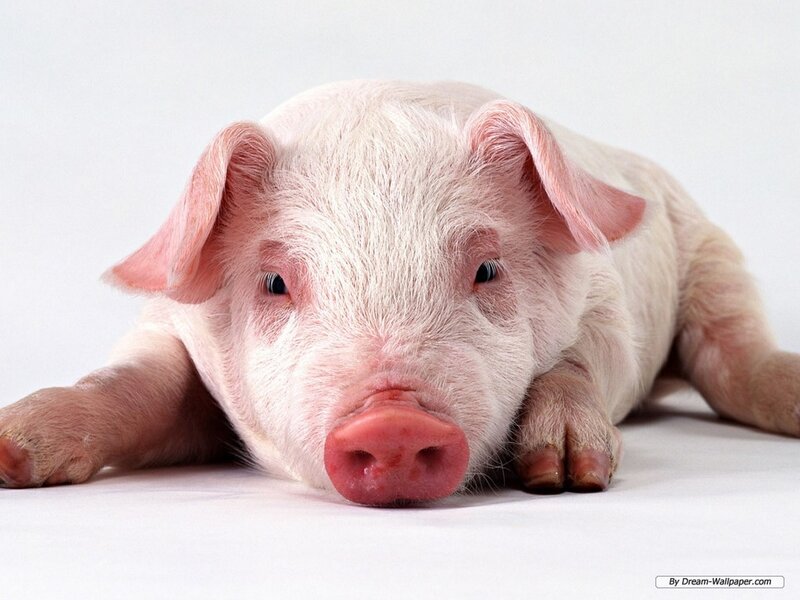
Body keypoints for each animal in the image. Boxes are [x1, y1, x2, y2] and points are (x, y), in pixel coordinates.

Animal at [1, 80, 798, 506]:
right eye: (274, 281)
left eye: (487, 269)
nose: (393, 421)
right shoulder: (172, 323)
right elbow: (135, 381)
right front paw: (14, 449)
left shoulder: (605, 305)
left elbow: (577, 362)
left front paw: (566, 476)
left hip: (711, 252)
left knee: (731, 354)